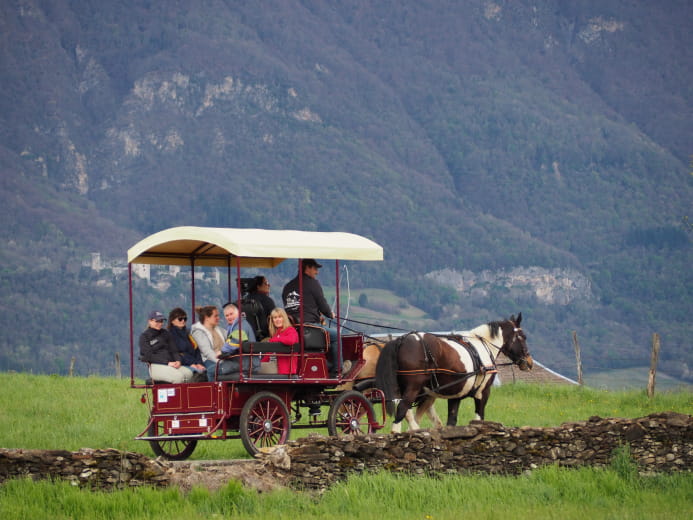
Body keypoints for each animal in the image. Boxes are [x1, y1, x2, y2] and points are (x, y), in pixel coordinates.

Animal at [376, 312, 532, 430]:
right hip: (413, 388)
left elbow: (451, 421)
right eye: (523, 337)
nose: (529, 363)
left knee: (407, 413)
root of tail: (402, 339)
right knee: (401, 411)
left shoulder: (455, 397)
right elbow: (479, 418)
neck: (483, 347)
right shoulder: (483, 393)